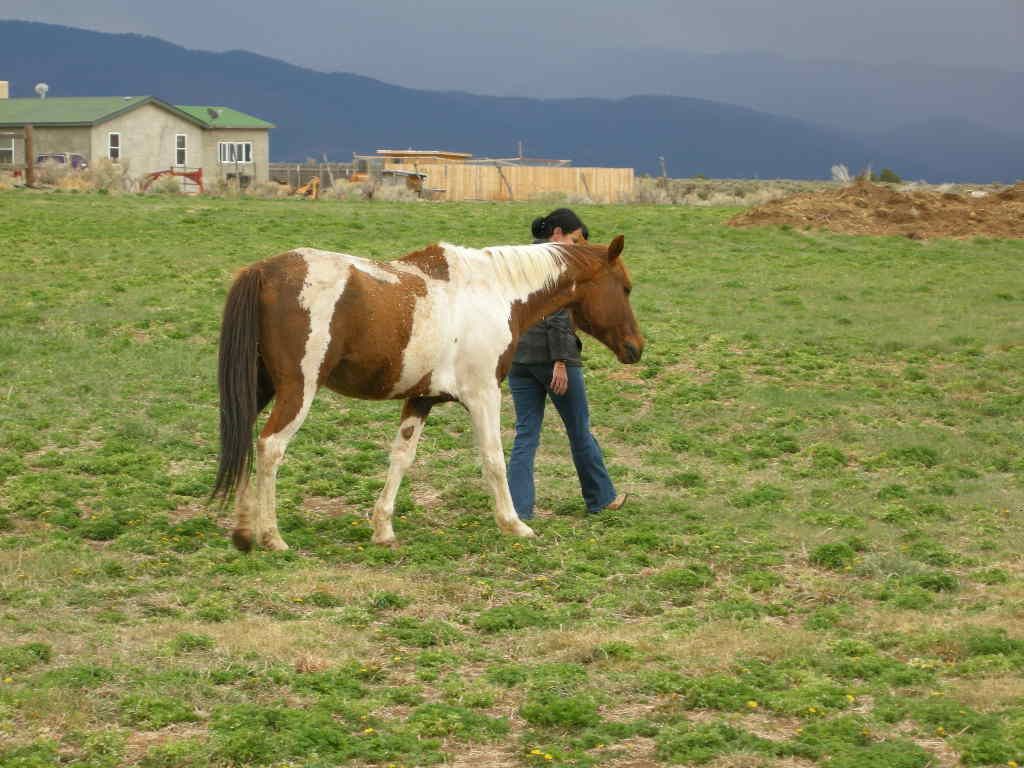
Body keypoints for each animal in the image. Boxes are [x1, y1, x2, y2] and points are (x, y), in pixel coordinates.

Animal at [212, 236, 644, 551]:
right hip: (297, 391)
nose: (636, 348)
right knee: (270, 446)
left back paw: (244, 532)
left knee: (244, 441)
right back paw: (272, 536)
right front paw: (513, 524)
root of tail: (263, 271)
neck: (495, 292)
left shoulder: (421, 399)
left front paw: (383, 529)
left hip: (259, 388)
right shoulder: (484, 394)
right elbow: (494, 459)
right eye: (625, 288)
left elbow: (401, 458)